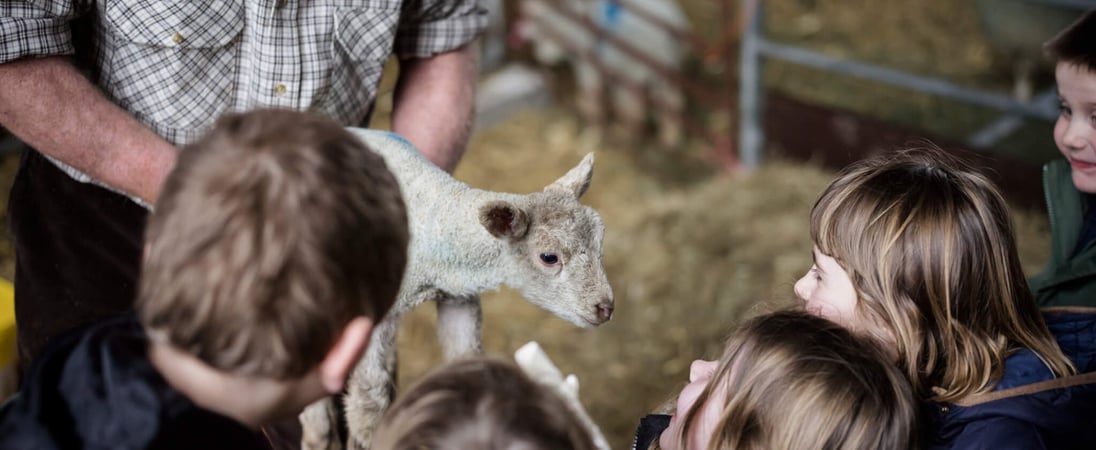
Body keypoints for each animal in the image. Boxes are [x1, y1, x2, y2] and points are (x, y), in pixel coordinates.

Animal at [300, 129, 613, 450]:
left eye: (600, 242)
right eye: (549, 257)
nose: (605, 307)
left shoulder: (459, 301)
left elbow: (466, 356)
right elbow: (369, 398)